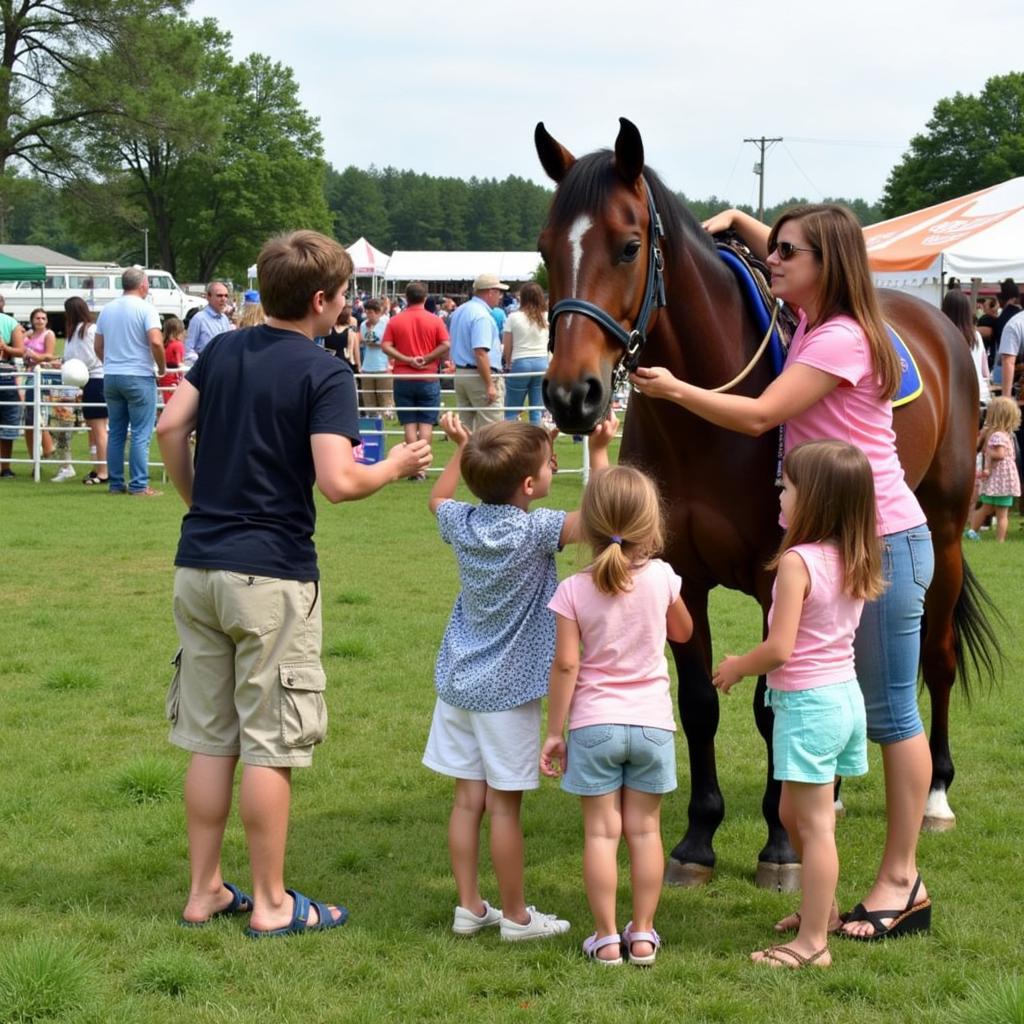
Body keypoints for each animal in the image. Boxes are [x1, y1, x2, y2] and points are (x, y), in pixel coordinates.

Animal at [532, 117, 995, 888]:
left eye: (628, 246)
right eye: (543, 251)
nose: (574, 395)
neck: (710, 421)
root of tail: (943, 331)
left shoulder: (781, 573)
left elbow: (771, 703)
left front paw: (780, 842)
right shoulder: (682, 574)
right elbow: (699, 705)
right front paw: (698, 838)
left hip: (947, 534)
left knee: (937, 656)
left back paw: (933, 794)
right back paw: (829, 792)